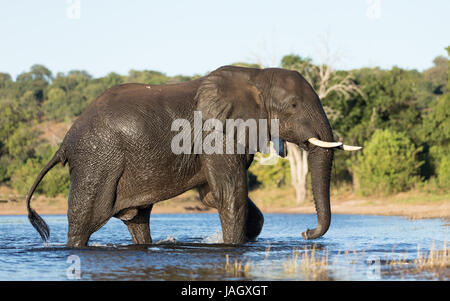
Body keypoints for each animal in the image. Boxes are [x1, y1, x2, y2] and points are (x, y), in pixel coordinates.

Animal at [25, 64, 362, 245]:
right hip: (96, 159)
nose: (305, 233)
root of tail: (65, 140)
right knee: (85, 219)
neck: (256, 76)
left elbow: (215, 195)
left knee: (138, 220)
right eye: (293, 105)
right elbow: (230, 193)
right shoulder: (217, 134)